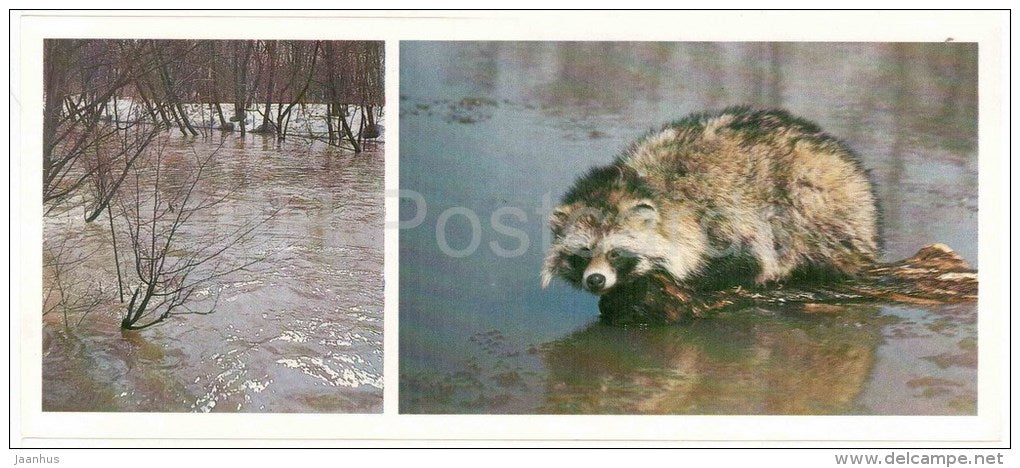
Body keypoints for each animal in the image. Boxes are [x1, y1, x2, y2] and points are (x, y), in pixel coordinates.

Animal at [541, 107, 879, 295]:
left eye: (615, 253)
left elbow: (750, 260)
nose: (596, 280)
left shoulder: (724, 213)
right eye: (583, 254)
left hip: (821, 196)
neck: (642, 183)